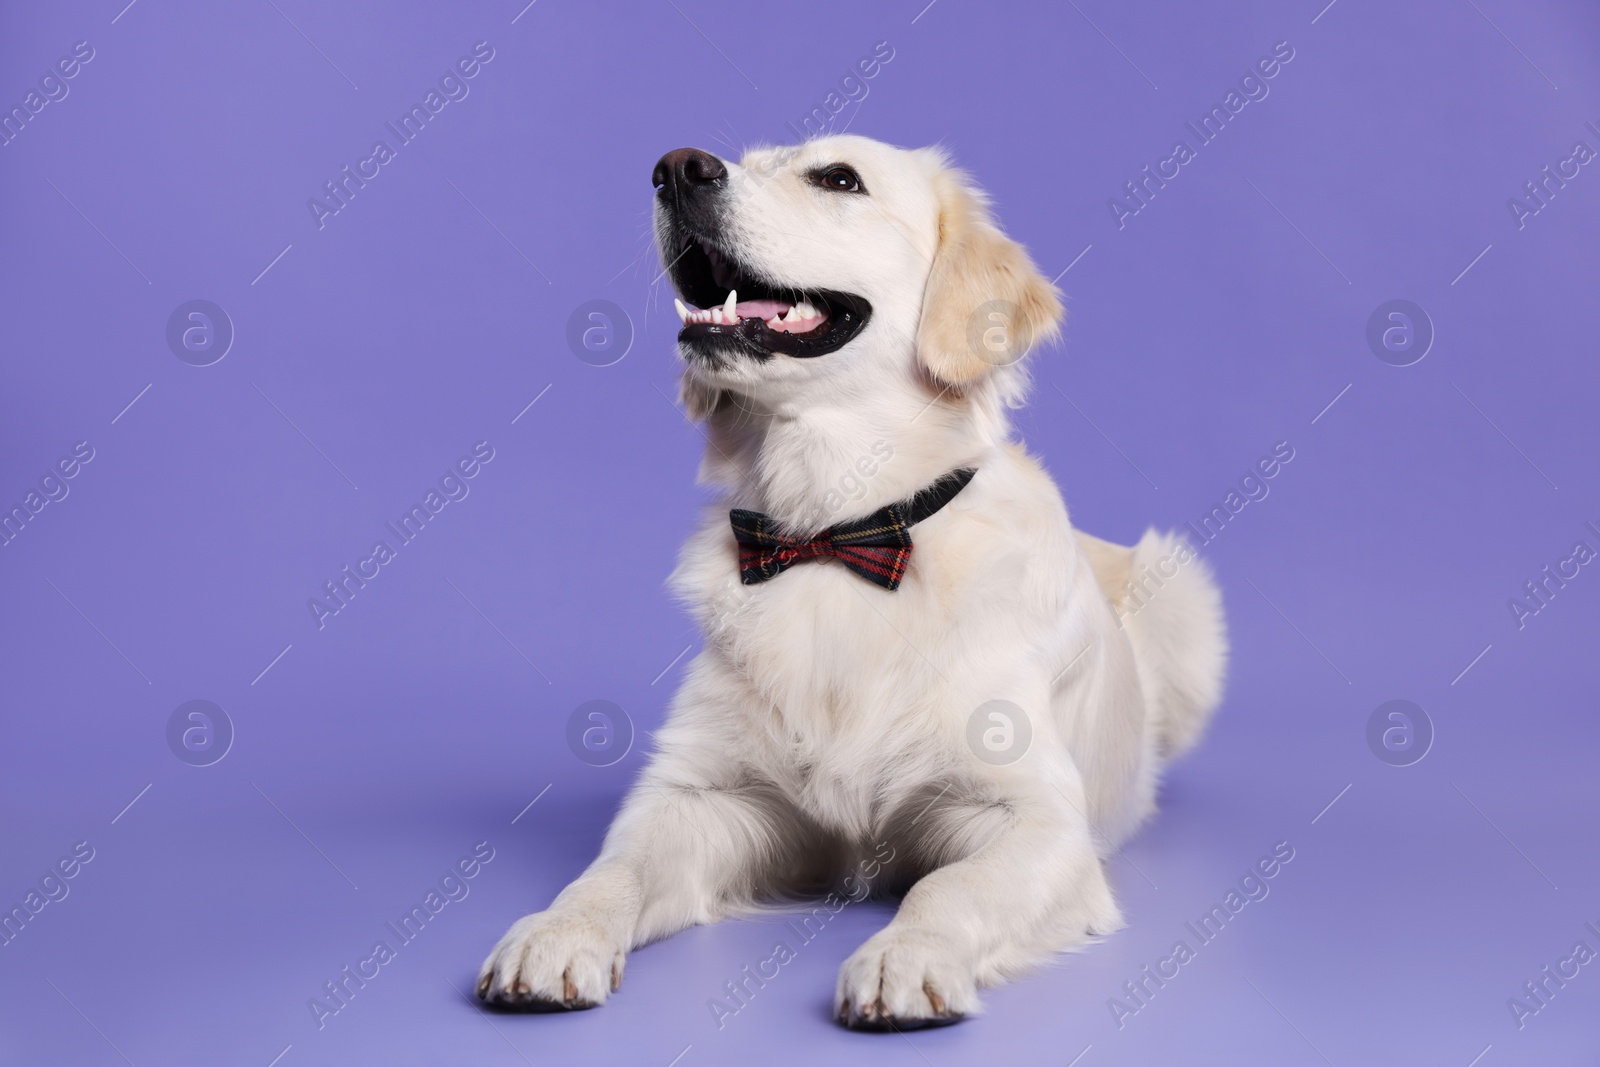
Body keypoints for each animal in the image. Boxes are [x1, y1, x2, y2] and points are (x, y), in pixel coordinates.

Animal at [473, 131, 1222, 1023]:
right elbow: (613, 868)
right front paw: (556, 932)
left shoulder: (1035, 820)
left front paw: (907, 953)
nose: (678, 167)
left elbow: (948, 887)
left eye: (838, 178)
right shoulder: (700, 794)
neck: (834, 530)